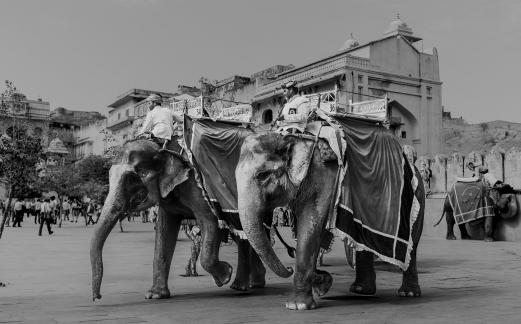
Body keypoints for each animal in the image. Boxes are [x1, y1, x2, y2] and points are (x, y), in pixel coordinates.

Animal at [89, 139, 266, 302]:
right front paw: (155, 295)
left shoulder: (197, 185)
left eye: (132, 179)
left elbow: (210, 221)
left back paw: (240, 286)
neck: (162, 148)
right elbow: (164, 231)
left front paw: (225, 275)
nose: (97, 297)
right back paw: (255, 284)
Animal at [236, 128, 426, 310]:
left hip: (417, 197)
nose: (289, 267)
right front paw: (322, 283)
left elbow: (310, 226)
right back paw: (361, 290)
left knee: (413, 245)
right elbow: (310, 232)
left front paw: (297, 305)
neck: (291, 136)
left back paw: (408, 293)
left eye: (262, 175)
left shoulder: (324, 179)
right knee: (362, 242)